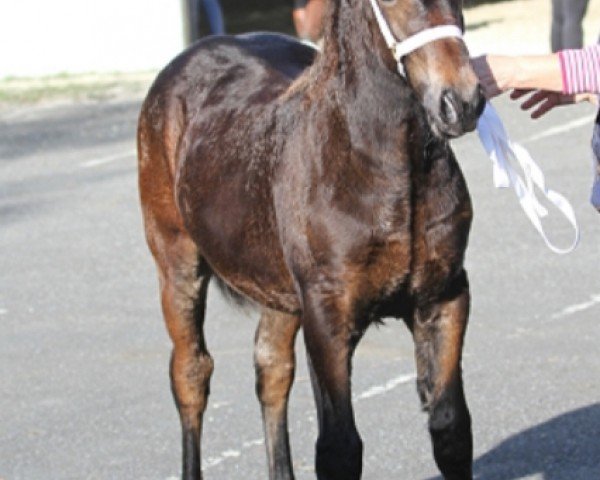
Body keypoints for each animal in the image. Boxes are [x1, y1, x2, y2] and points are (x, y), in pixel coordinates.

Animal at [136, 0, 482, 480]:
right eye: (394, 3)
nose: (461, 101)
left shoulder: (443, 296)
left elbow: (450, 427)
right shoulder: (327, 314)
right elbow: (339, 448)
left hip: (277, 289)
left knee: (272, 369)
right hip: (177, 263)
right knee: (191, 374)